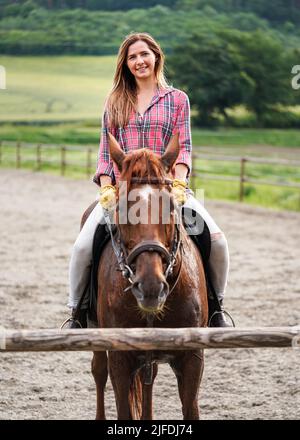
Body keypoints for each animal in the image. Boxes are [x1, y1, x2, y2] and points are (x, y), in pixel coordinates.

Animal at [91, 134, 207, 420]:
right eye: (121, 207)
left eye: (171, 205)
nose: (151, 288)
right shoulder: (120, 358)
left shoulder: (193, 358)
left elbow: (190, 409)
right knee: (98, 371)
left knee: (149, 380)